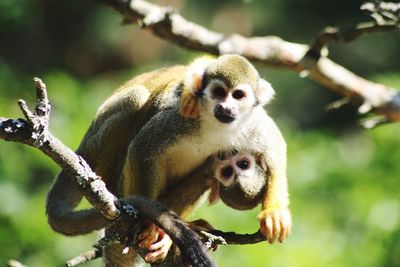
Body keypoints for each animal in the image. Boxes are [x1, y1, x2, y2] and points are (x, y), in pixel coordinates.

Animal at [46, 55, 290, 266]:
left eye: (238, 95)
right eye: (219, 92)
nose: (226, 107)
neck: (217, 126)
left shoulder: (250, 123)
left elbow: (275, 147)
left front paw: (274, 211)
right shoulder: (179, 120)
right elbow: (142, 148)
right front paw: (148, 224)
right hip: (96, 143)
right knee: (136, 100)